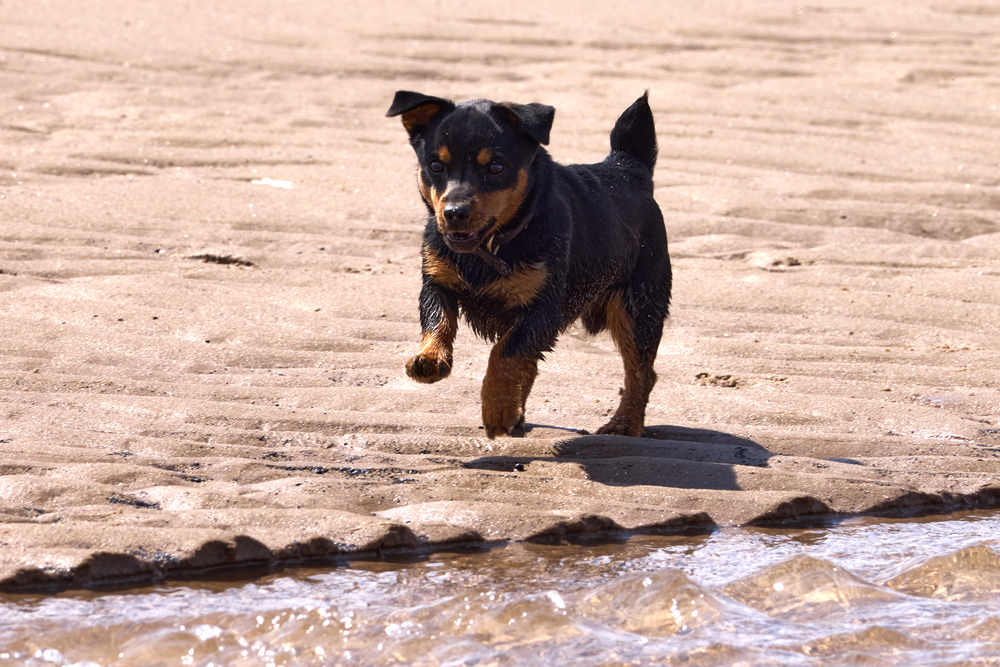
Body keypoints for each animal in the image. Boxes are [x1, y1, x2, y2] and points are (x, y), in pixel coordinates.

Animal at [386, 90, 671, 438]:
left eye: (496, 167)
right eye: (436, 165)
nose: (454, 212)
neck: (491, 247)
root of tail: (628, 166)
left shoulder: (543, 309)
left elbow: (505, 353)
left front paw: (497, 408)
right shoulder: (436, 282)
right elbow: (438, 320)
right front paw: (430, 357)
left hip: (639, 307)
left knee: (641, 372)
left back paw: (624, 423)